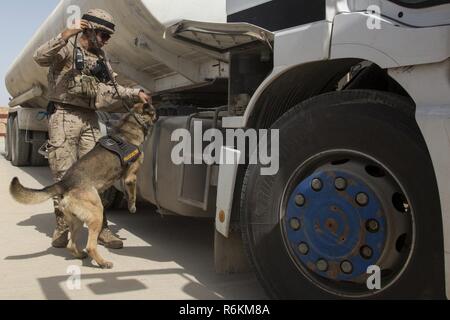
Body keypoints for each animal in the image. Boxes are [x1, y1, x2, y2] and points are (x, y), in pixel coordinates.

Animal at [9, 102, 157, 268]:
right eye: (154, 111)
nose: (158, 114)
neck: (132, 121)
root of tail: (65, 183)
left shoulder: (125, 178)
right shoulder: (131, 177)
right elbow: (132, 195)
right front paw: (132, 207)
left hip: (77, 220)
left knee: (71, 245)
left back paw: (80, 255)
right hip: (96, 213)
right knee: (91, 246)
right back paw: (103, 263)